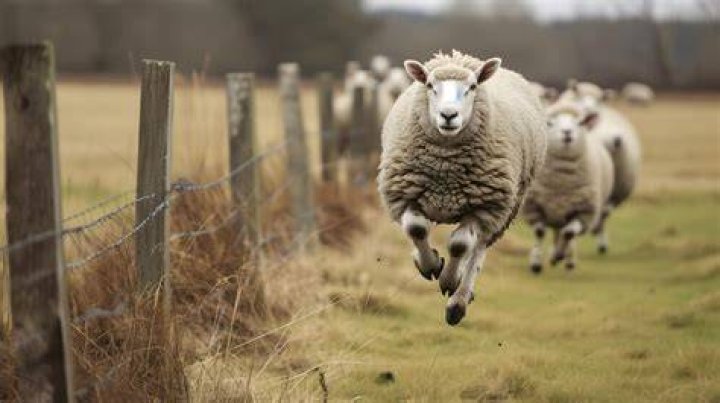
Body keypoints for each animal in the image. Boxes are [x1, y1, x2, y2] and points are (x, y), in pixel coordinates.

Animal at [378, 50, 547, 325]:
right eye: (430, 85)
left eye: (473, 86)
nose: (448, 115)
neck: (445, 167)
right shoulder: (405, 195)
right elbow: (416, 229)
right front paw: (430, 264)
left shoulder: (484, 207)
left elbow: (460, 245)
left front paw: (449, 280)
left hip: (505, 210)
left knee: (478, 248)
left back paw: (458, 301)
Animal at [522, 102, 614, 273]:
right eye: (549, 123)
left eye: (580, 123)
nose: (567, 132)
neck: (561, 181)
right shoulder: (534, 206)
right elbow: (539, 232)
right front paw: (536, 264)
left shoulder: (584, 212)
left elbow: (569, 234)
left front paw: (559, 256)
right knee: (556, 231)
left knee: (565, 233)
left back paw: (567, 260)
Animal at [559, 80, 642, 253]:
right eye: (579, 96)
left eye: (599, 100)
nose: (590, 110)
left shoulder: (611, 195)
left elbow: (602, 214)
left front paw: (601, 241)